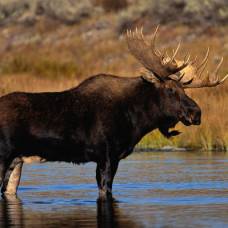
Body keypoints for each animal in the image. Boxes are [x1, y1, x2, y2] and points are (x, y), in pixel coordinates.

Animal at [0, 26, 228, 198]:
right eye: (171, 89)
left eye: (184, 89)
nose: (197, 113)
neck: (136, 120)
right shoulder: (107, 156)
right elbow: (105, 190)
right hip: (4, 155)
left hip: (16, 162)